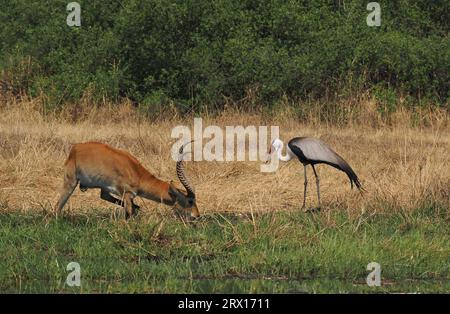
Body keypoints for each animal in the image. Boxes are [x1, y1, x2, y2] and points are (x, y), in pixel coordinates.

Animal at [54, 141, 199, 220]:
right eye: (190, 201)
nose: (197, 216)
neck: (138, 174)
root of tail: (75, 148)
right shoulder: (128, 194)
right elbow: (130, 211)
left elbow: (132, 209)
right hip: (70, 182)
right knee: (57, 206)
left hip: (103, 188)